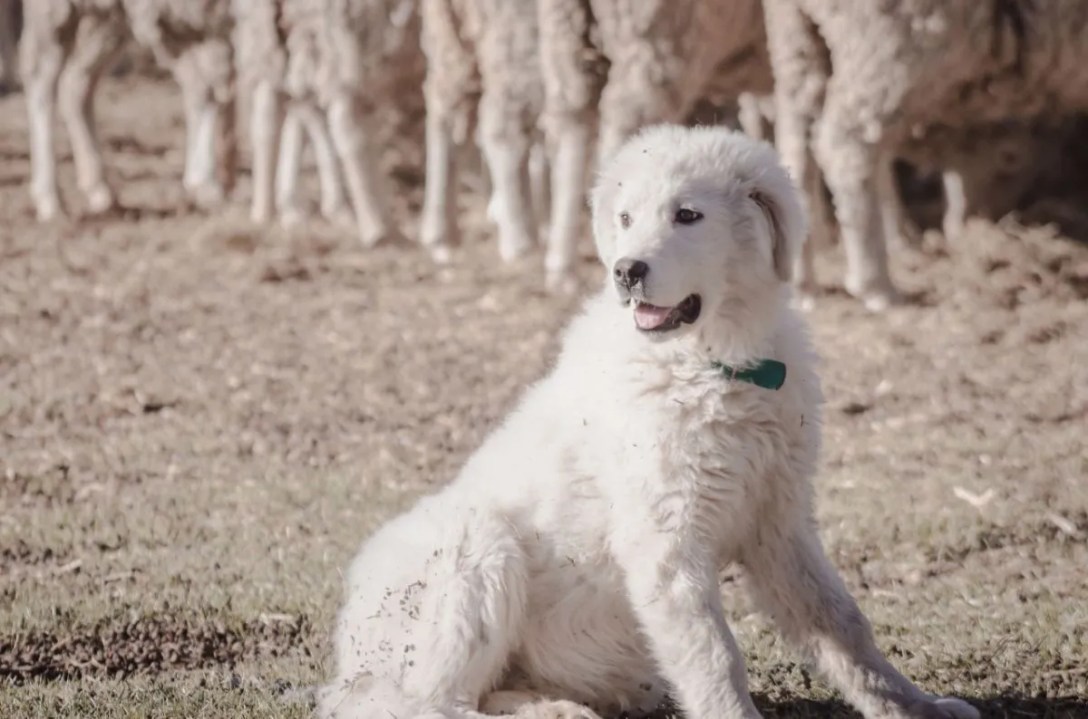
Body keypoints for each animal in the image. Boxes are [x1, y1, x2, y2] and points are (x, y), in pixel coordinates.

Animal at [21, 0, 236, 221]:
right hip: (56, 10)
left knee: (76, 83)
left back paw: (99, 189)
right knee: (41, 74)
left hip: (110, 16)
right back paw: (50, 199)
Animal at [318, 125, 980, 719]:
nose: (626, 270)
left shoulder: (779, 522)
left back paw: (556, 709)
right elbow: (715, 657)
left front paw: (914, 705)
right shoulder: (667, 540)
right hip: (471, 548)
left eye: (687, 216)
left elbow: (843, 624)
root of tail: (352, 664)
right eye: (627, 218)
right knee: (426, 702)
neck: (715, 366)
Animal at [762, 0, 1088, 310]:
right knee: (847, 144)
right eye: (1010, 159)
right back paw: (874, 284)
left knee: (795, 139)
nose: (981, 219)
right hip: (890, 44)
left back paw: (801, 283)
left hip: (796, 39)